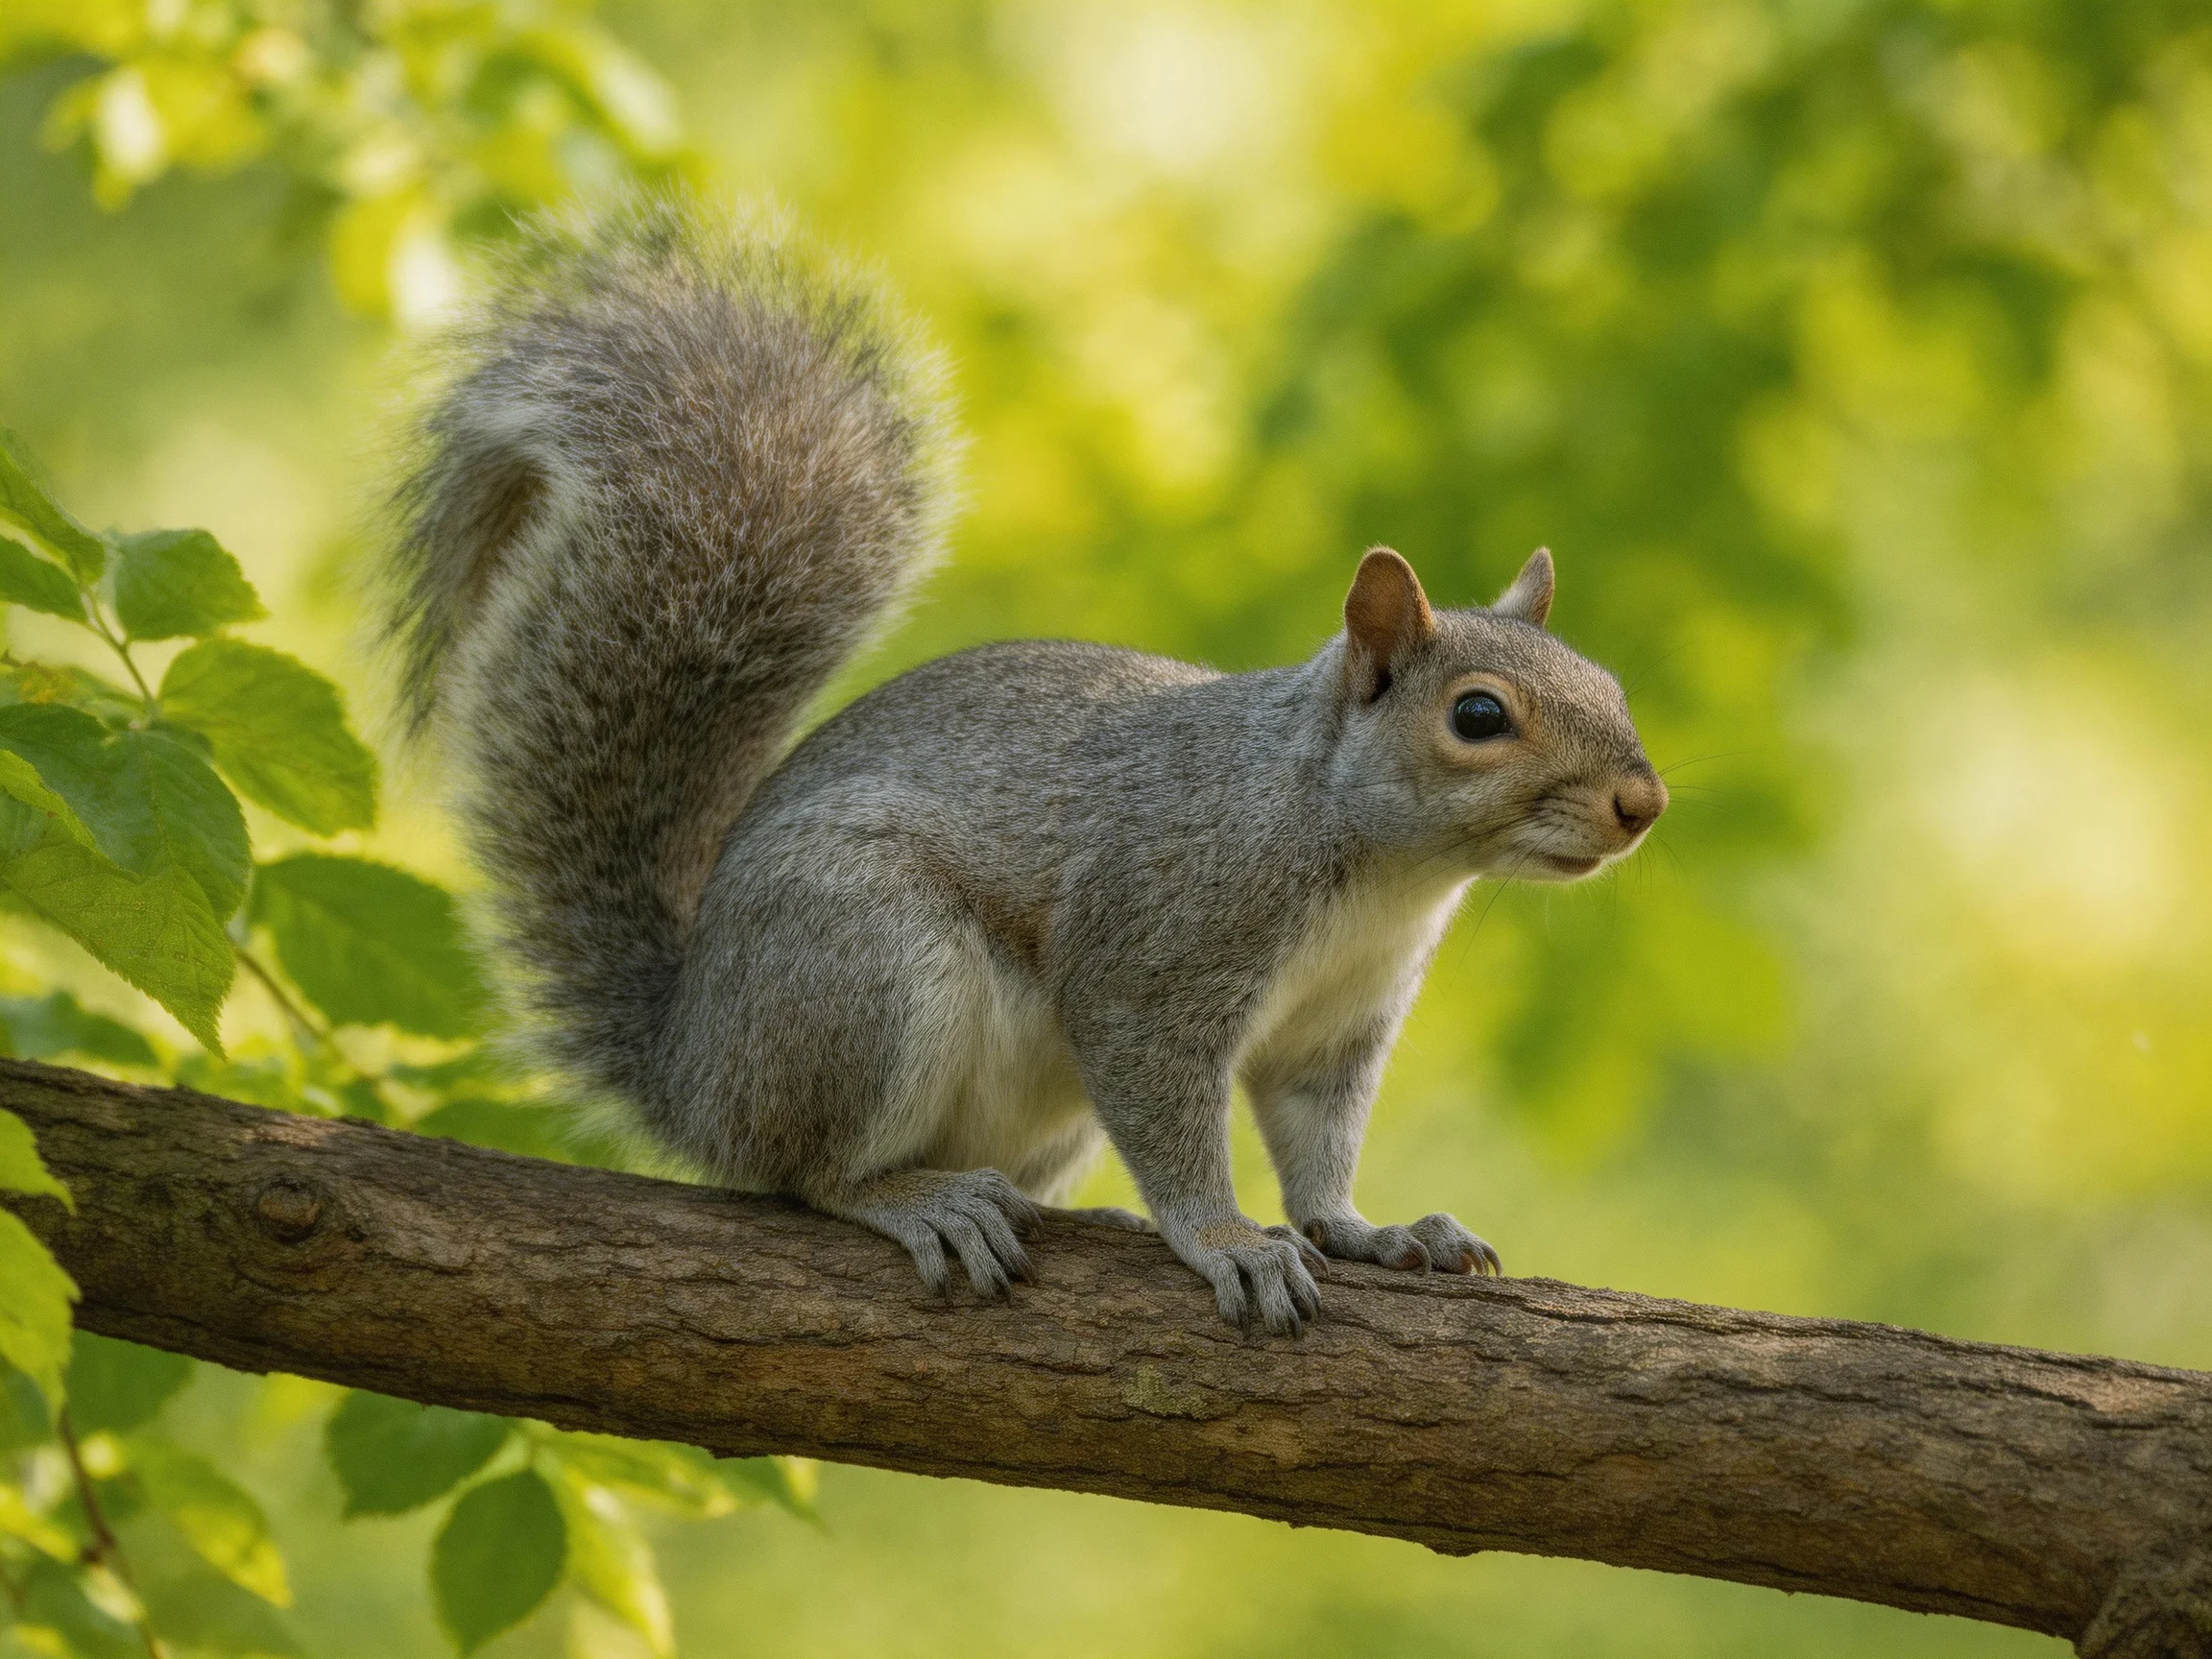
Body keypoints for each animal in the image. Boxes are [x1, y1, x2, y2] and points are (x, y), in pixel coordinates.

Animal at [384, 195, 1666, 1336]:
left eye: (1610, 685)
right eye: (1479, 715)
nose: (1642, 803)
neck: (1379, 866)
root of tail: (690, 1067)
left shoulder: (1337, 1028)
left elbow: (1317, 1146)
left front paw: (1367, 1230)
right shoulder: (1155, 953)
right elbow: (1170, 1114)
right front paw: (1228, 1240)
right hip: (865, 971)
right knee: (802, 1172)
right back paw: (918, 1200)